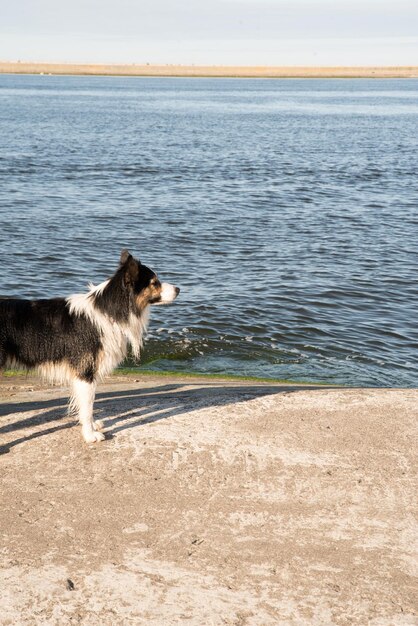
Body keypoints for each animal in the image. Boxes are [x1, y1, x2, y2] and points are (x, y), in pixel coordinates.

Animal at [0, 246, 180, 442]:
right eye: (154, 282)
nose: (178, 289)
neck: (109, 310)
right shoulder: (85, 371)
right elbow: (88, 406)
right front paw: (90, 435)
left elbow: (86, 404)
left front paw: (92, 427)